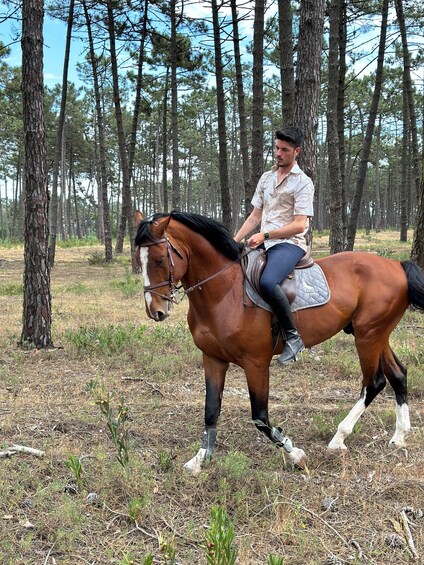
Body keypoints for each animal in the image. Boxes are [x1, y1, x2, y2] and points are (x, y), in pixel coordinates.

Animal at [133, 210, 424, 472]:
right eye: (138, 259)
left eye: (159, 260)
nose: (155, 310)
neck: (224, 292)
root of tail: (397, 265)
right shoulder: (213, 359)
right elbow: (211, 410)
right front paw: (200, 458)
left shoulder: (256, 363)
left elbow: (260, 417)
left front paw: (295, 454)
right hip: (376, 333)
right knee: (398, 374)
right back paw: (399, 436)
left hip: (368, 335)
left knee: (374, 382)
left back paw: (338, 438)